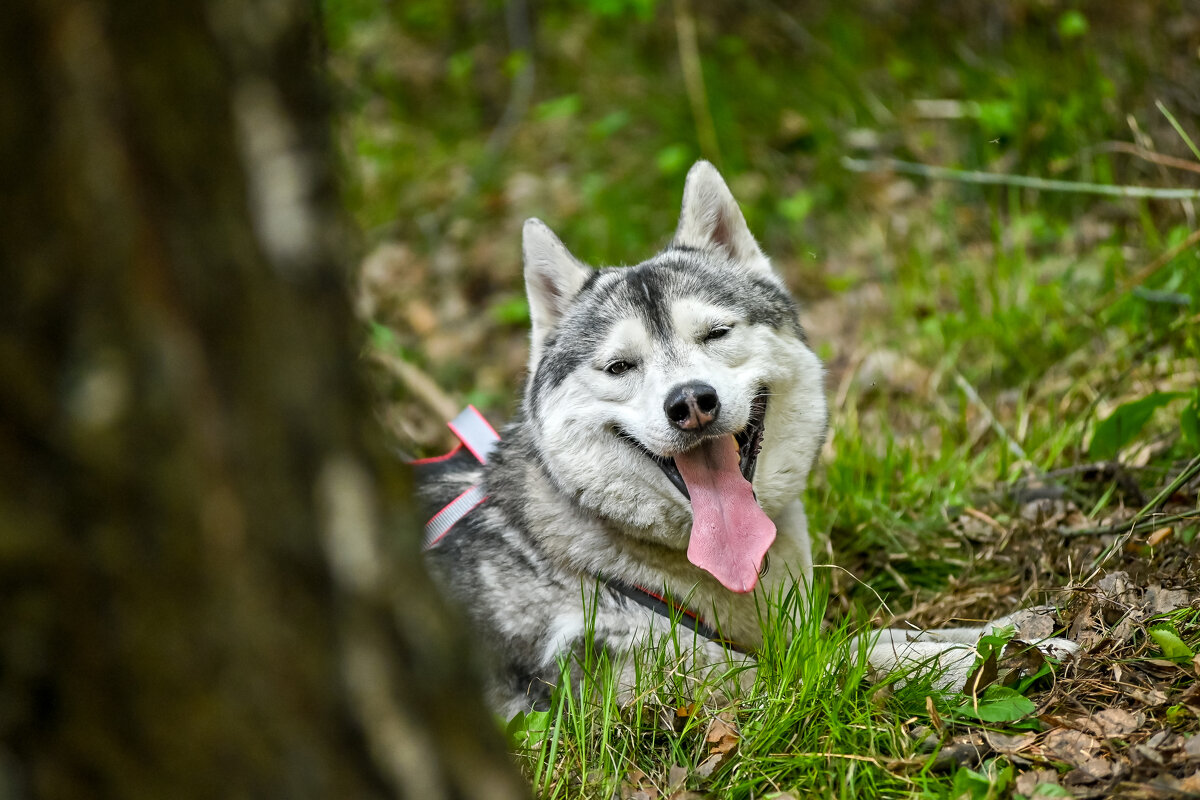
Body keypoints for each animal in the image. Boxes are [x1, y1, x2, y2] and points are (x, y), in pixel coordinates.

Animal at [420, 160, 1070, 714]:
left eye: (716, 332)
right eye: (619, 367)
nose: (690, 403)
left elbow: (888, 635)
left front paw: (1013, 630)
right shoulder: (706, 679)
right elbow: (853, 658)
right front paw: (993, 660)